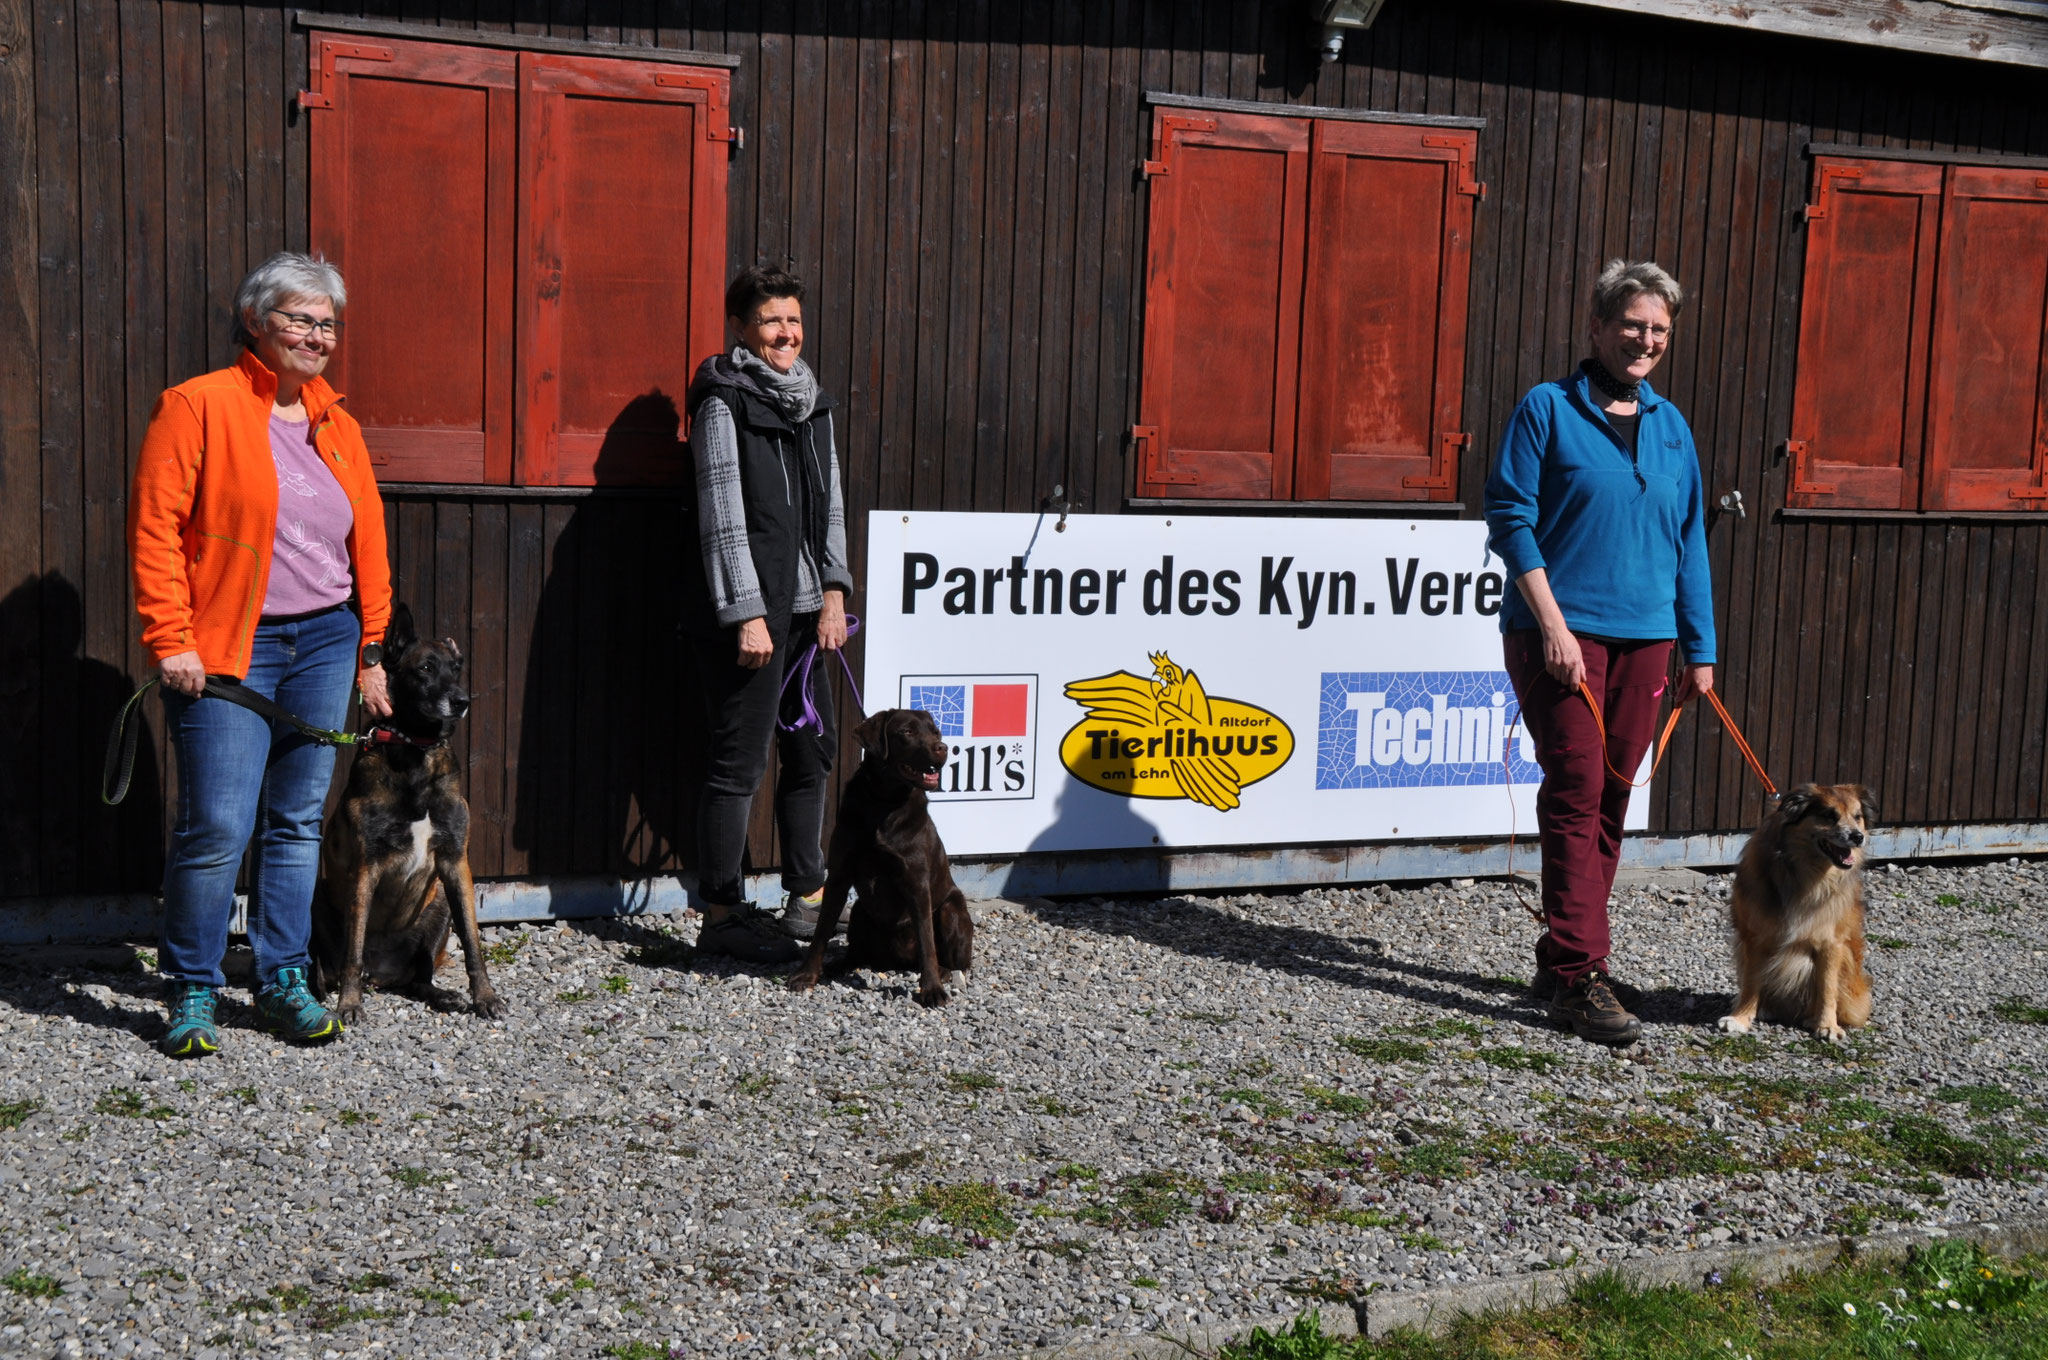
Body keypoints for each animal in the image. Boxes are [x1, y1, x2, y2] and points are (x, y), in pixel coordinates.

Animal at [311, 604, 506, 1024]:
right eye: (425, 669)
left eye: (456, 668)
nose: (461, 700)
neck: (415, 750)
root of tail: (381, 975)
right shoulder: (365, 867)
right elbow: (352, 950)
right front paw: (348, 1004)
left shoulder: (455, 862)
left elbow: (473, 941)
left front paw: (485, 996)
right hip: (316, 901)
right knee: (329, 967)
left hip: (439, 906)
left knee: (419, 977)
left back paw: (442, 995)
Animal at [788, 708, 974, 1008]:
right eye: (907, 732)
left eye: (935, 731)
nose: (942, 747)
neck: (884, 801)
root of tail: (896, 961)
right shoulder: (839, 876)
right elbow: (821, 931)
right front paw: (807, 975)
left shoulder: (917, 884)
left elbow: (927, 941)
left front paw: (931, 989)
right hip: (859, 911)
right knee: (857, 951)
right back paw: (840, 965)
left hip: (951, 910)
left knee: (957, 962)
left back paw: (945, 972)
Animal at [1717, 783, 1875, 1043]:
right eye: (1829, 815)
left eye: (1857, 816)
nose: (1857, 837)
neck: (1805, 873)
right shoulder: (1754, 937)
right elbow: (1751, 982)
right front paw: (1740, 1018)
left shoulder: (1832, 943)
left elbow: (1827, 987)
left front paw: (1827, 1025)